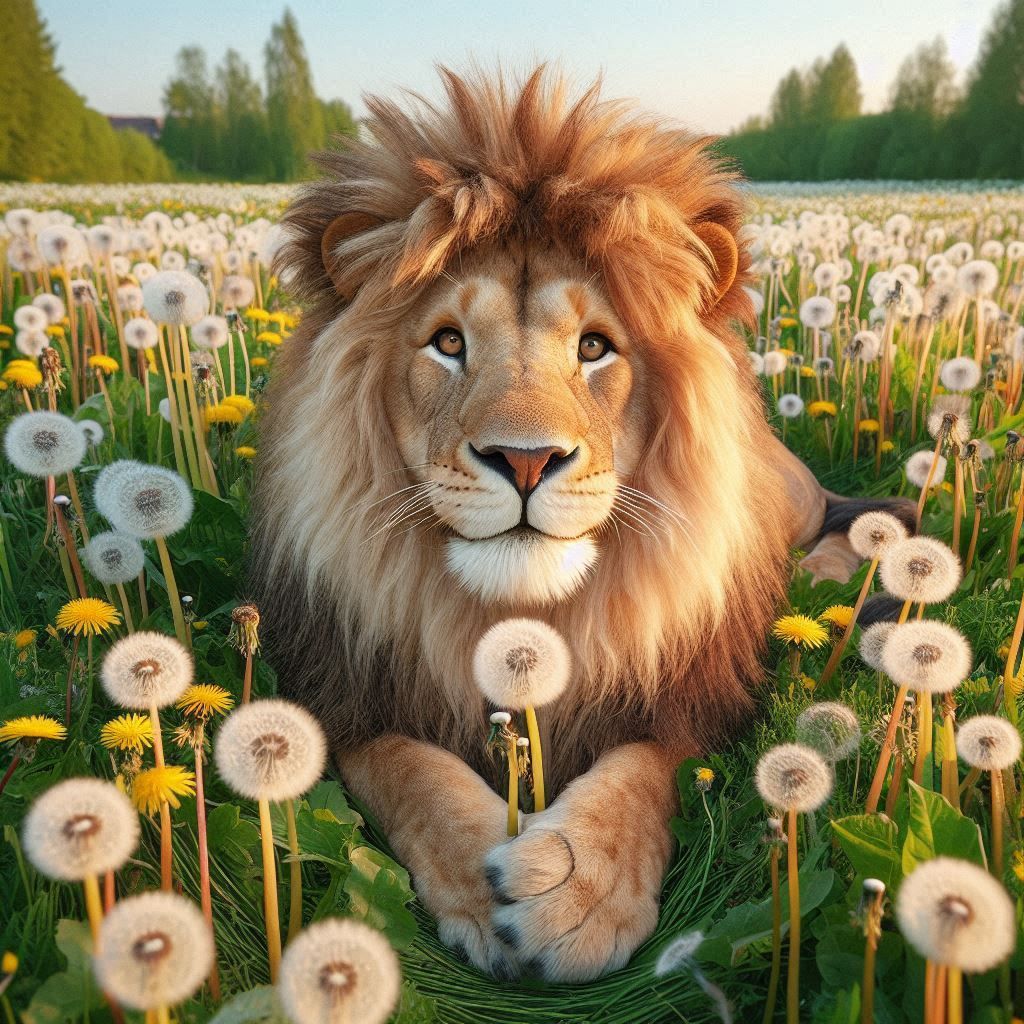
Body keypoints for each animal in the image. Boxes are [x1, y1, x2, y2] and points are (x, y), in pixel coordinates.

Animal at [251, 67, 911, 983]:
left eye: (595, 348)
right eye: (447, 343)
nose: (525, 461)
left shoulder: (694, 697)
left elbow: (645, 766)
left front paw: (576, 894)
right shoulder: (344, 693)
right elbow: (408, 769)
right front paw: (483, 878)